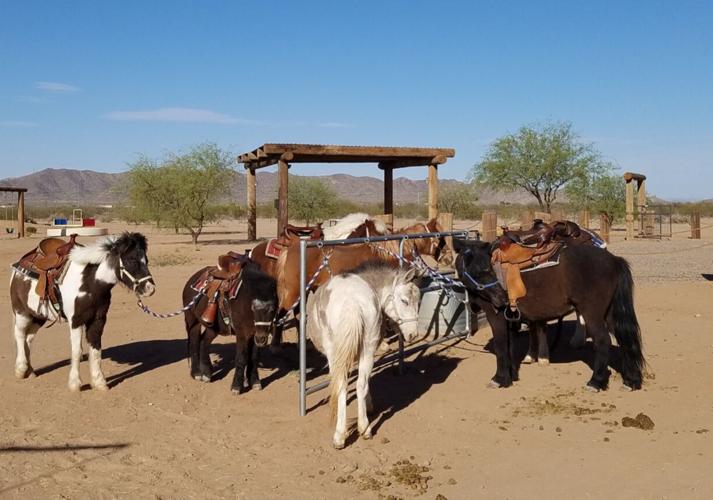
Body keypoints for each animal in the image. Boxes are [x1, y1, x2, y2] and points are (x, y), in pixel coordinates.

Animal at [10, 232, 155, 391]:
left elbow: (96, 350)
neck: (90, 282)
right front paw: (75, 384)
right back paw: (20, 369)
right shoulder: (76, 321)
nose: (150, 288)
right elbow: (76, 351)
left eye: (146, 260)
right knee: (19, 335)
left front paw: (99, 382)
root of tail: (20, 263)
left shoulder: (98, 320)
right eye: (131, 259)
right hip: (22, 312)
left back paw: (30, 371)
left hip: (38, 316)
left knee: (28, 338)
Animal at [182, 262, 278, 394]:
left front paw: (255, 382)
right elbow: (241, 358)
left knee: (204, 342)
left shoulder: (254, 334)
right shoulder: (242, 333)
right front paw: (236, 387)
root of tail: (190, 282)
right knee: (195, 343)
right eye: (253, 308)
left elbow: (253, 357)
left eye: (272, 309)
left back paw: (207, 373)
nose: (262, 339)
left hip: (213, 329)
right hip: (194, 322)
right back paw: (196, 373)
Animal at [306, 262, 422, 449]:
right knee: (361, 383)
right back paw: (365, 428)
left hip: (335, 353)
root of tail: (352, 302)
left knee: (343, 385)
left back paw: (340, 436)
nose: (413, 335)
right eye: (405, 301)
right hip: (368, 347)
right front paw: (369, 408)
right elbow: (365, 383)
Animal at [453, 238, 645, 392]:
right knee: (625, 340)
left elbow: (501, 346)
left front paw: (499, 379)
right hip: (610, 313)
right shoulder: (510, 319)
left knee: (603, 341)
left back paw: (595, 382)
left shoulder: (496, 316)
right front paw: (511, 376)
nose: (502, 299)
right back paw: (631, 381)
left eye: (488, 269)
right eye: (479, 272)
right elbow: (509, 346)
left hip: (592, 314)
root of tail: (613, 260)